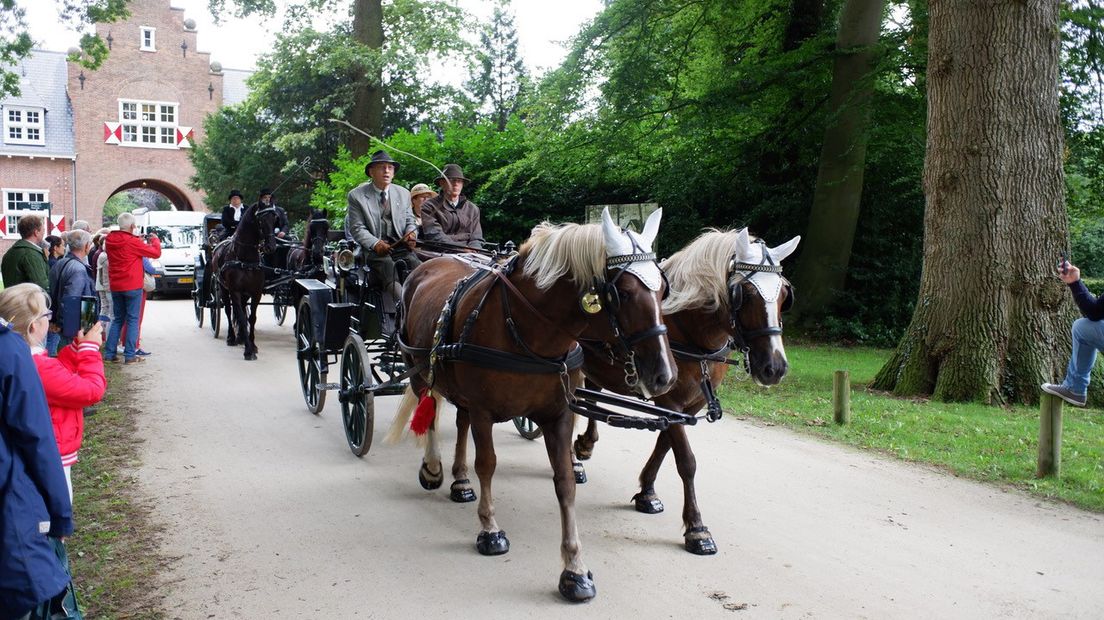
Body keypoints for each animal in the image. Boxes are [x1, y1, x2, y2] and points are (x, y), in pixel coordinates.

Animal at [209, 200, 278, 359]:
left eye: (274, 218)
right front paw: (248, 350)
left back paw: (240, 336)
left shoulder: (256, 292)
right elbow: (240, 316)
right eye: (261, 220)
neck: (245, 258)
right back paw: (232, 337)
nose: (271, 246)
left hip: (245, 294)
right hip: (223, 289)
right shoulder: (234, 291)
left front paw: (252, 345)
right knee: (229, 310)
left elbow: (251, 318)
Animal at [393, 207, 675, 600]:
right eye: (625, 293)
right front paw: (490, 529)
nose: (665, 375)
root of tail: (429, 263)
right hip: (419, 367)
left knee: (459, 421)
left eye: (663, 289)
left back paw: (460, 481)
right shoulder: (483, 410)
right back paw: (433, 468)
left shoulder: (557, 414)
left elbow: (565, 482)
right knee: (429, 410)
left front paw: (574, 569)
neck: (529, 329)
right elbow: (488, 464)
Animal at [574, 229, 799, 551]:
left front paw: (647, 492)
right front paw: (696, 527)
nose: (775, 367)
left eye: (784, 295)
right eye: (746, 295)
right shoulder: (669, 401)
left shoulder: (690, 406)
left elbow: (664, 445)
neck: (689, 331)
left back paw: (585, 445)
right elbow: (686, 460)